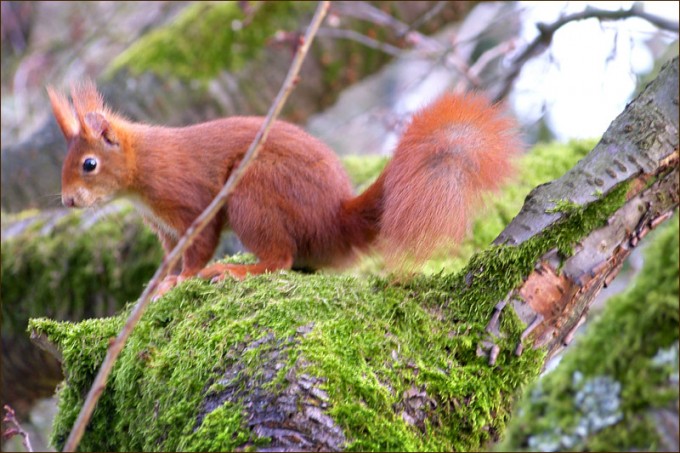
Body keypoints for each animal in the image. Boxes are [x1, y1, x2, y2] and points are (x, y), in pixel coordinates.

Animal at [48, 80, 521, 298]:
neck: (140, 169)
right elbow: (169, 257)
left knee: (280, 260)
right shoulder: (164, 229)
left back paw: (237, 270)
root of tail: (335, 218)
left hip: (253, 192)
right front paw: (160, 283)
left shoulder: (190, 205)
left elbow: (198, 248)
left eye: (89, 165)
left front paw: (182, 279)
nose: (69, 200)